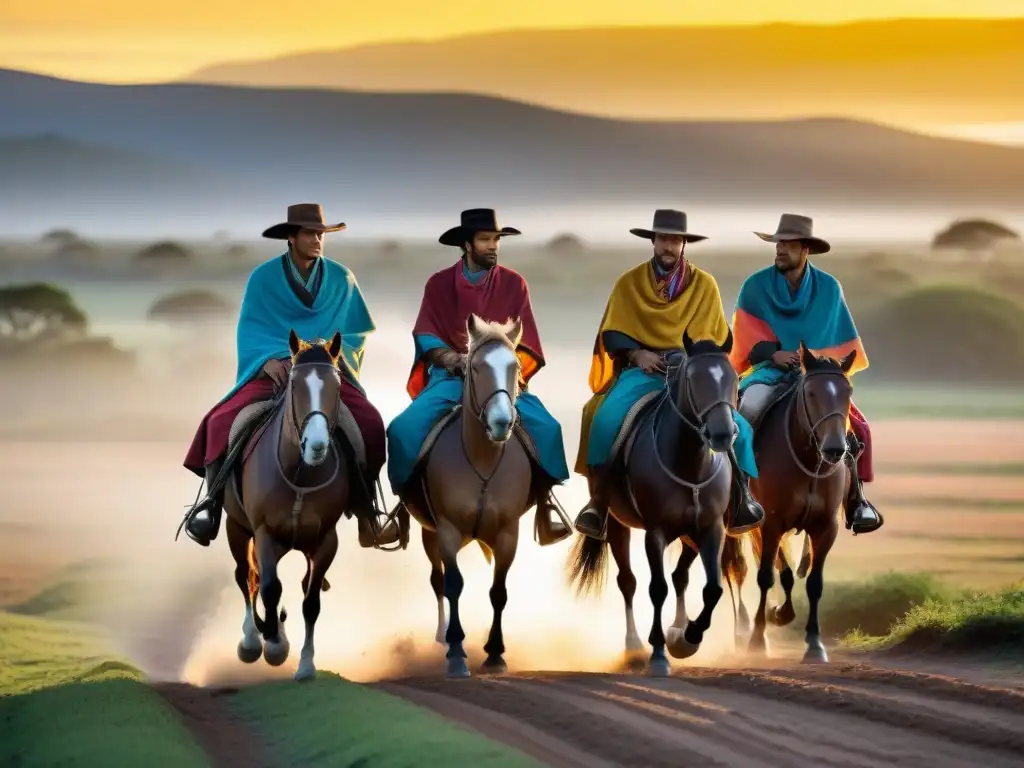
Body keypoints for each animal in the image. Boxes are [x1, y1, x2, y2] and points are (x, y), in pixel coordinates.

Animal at [397, 315, 552, 675]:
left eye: (514, 367)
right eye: (477, 368)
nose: (501, 422)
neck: (482, 461)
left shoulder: (508, 534)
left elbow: (499, 592)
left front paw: (495, 654)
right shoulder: (447, 530)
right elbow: (453, 584)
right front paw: (456, 652)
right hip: (430, 535)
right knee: (438, 580)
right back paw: (442, 638)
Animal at [565, 335, 741, 679]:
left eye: (732, 379)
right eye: (693, 380)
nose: (722, 435)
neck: (689, 463)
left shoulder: (711, 528)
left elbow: (712, 588)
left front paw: (688, 637)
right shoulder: (655, 532)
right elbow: (656, 588)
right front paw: (659, 653)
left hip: (689, 533)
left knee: (681, 576)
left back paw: (678, 629)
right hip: (616, 523)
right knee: (628, 582)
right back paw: (634, 647)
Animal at [724, 339, 860, 663]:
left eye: (847, 393)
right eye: (811, 393)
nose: (835, 449)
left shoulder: (825, 527)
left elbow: (813, 582)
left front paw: (814, 644)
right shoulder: (771, 522)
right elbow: (767, 576)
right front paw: (758, 639)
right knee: (734, 568)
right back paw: (742, 629)